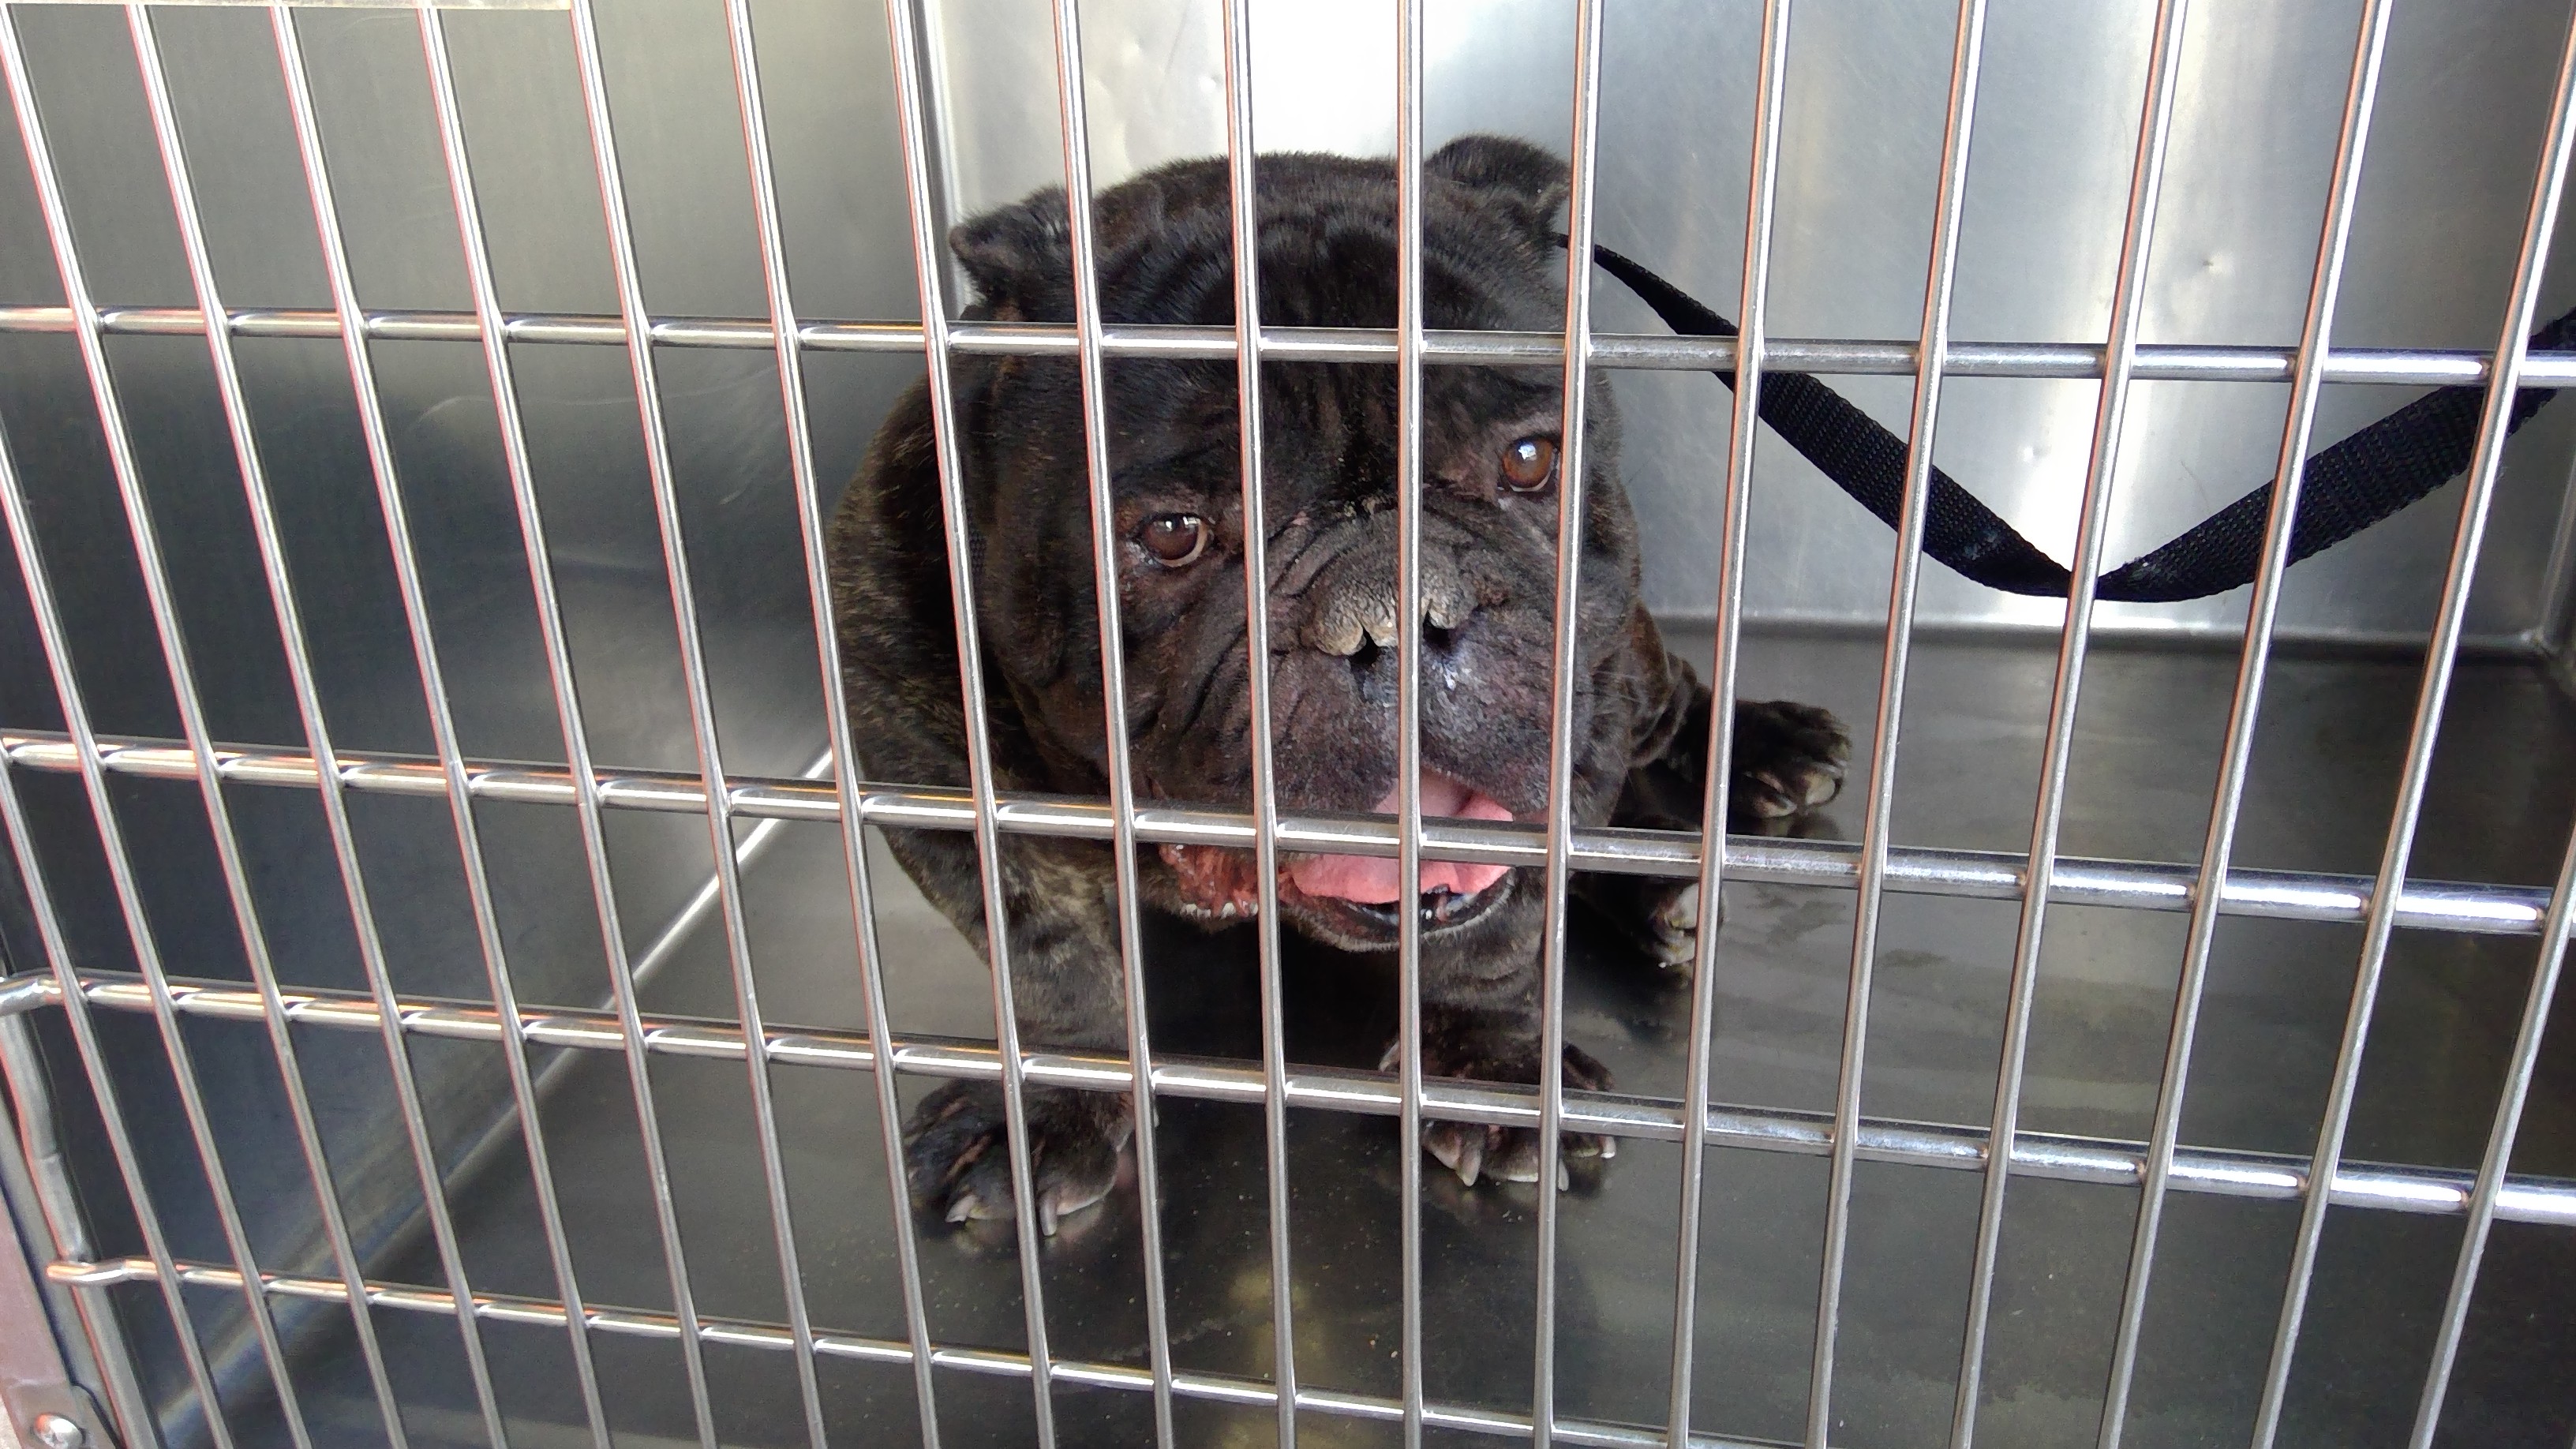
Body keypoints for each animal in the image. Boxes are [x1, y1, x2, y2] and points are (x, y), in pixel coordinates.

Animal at [829, 134, 1848, 1232]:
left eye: (1529, 459)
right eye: (1173, 533)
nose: (1395, 611)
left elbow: (1498, 932)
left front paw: (1486, 1071)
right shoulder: (941, 777)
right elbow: (1046, 959)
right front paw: (1052, 1100)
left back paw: (1749, 772)